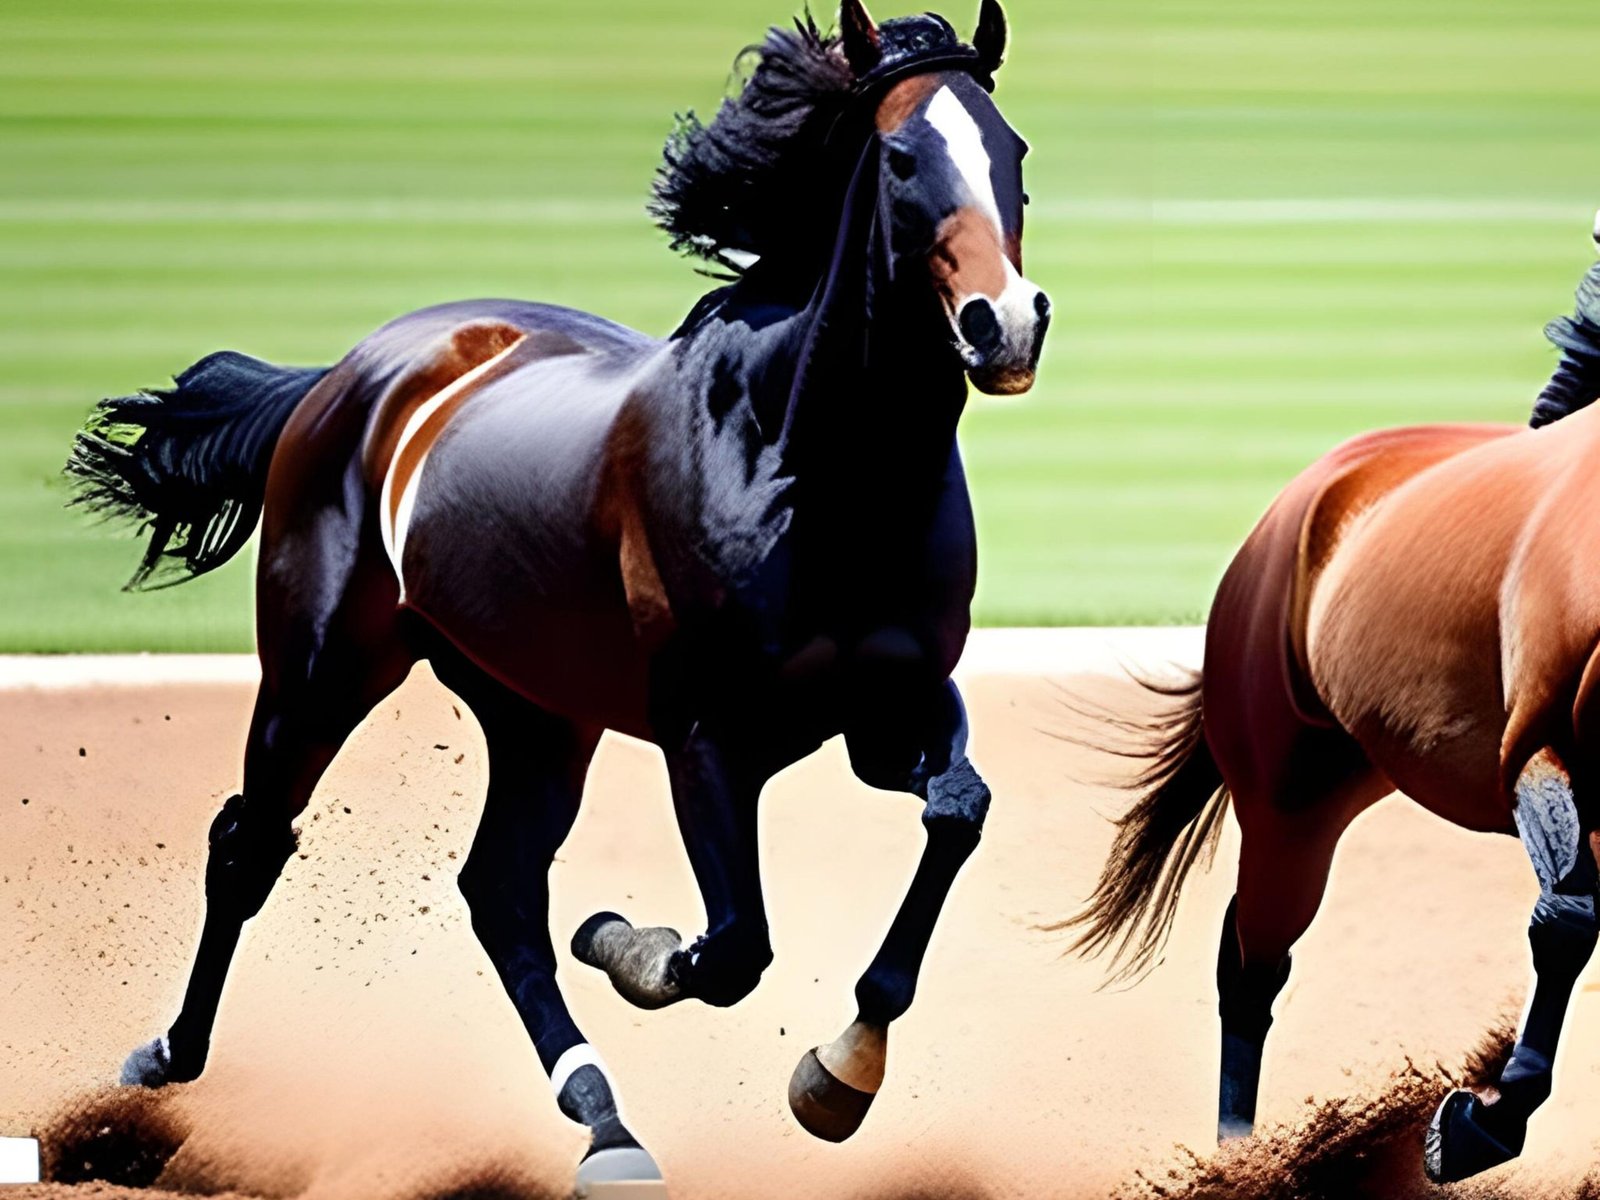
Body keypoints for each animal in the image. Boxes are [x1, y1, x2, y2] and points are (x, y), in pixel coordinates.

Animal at [64, 1, 1049, 1191]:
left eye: (1014, 153)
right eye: (902, 158)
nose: (1006, 325)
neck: (809, 464)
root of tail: (347, 372)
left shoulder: (894, 706)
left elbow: (955, 817)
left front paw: (838, 1073)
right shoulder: (705, 736)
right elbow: (730, 950)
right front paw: (633, 946)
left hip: (536, 712)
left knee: (500, 891)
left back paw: (606, 1122)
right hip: (320, 670)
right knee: (252, 844)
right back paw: (160, 1061)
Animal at [1065, 226, 1600, 1185]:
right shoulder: (1541, 747)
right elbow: (1567, 921)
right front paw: (1475, 1123)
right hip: (1290, 798)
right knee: (1251, 965)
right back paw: (1245, 1164)